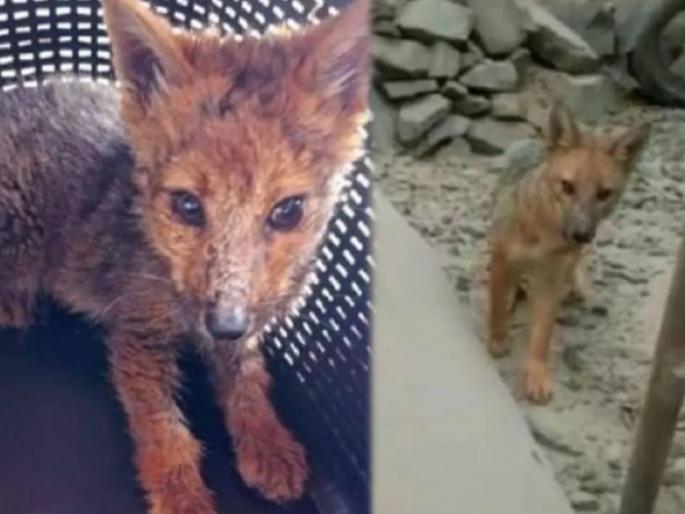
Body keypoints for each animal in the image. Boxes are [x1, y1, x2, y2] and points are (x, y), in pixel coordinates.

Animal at [0, 0, 369, 512]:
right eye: (187, 206)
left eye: (288, 211)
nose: (224, 325)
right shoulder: (137, 333)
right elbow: (163, 428)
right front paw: (181, 494)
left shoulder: (240, 326)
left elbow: (249, 379)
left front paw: (268, 443)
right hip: (21, 236)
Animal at [486, 103, 650, 404]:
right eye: (567, 186)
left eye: (604, 194)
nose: (581, 234)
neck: (545, 237)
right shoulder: (503, 259)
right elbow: (496, 305)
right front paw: (498, 338)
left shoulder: (552, 281)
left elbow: (542, 336)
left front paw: (537, 376)